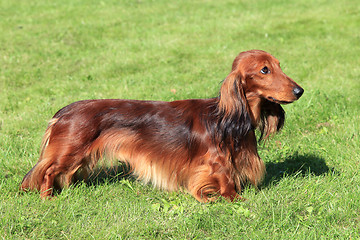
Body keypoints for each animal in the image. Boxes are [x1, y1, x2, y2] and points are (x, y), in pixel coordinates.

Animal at [20, 49, 304, 202]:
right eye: (264, 70)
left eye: (279, 66)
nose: (300, 90)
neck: (230, 117)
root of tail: (62, 112)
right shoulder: (215, 162)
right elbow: (224, 180)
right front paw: (234, 199)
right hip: (69, 151)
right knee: (47, 172)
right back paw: (47, 197)